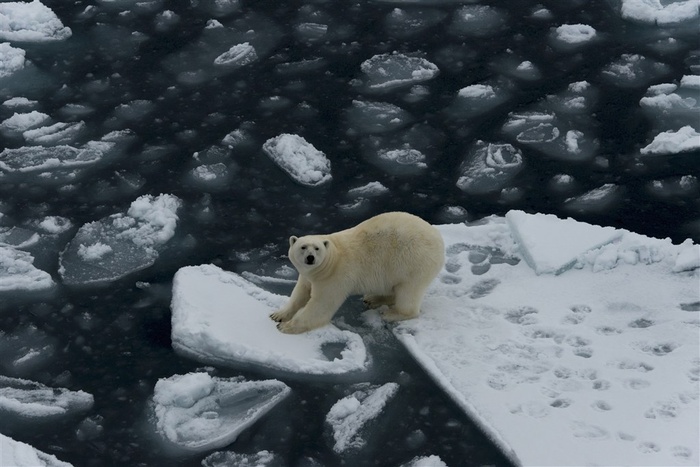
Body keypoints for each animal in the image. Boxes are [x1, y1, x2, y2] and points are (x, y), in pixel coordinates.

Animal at [270, 212, 446, 336]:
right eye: (303, 247)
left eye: (317, 248)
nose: (310, 258)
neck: (332, 259)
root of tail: (439, 239)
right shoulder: (308, 276)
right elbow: (300, 294)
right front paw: (278, 315)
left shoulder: (335, 277)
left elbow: (321, 305)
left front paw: (285, 326)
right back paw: (373, 299)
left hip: (413, 262)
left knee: (408, 292)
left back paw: (390, 313)